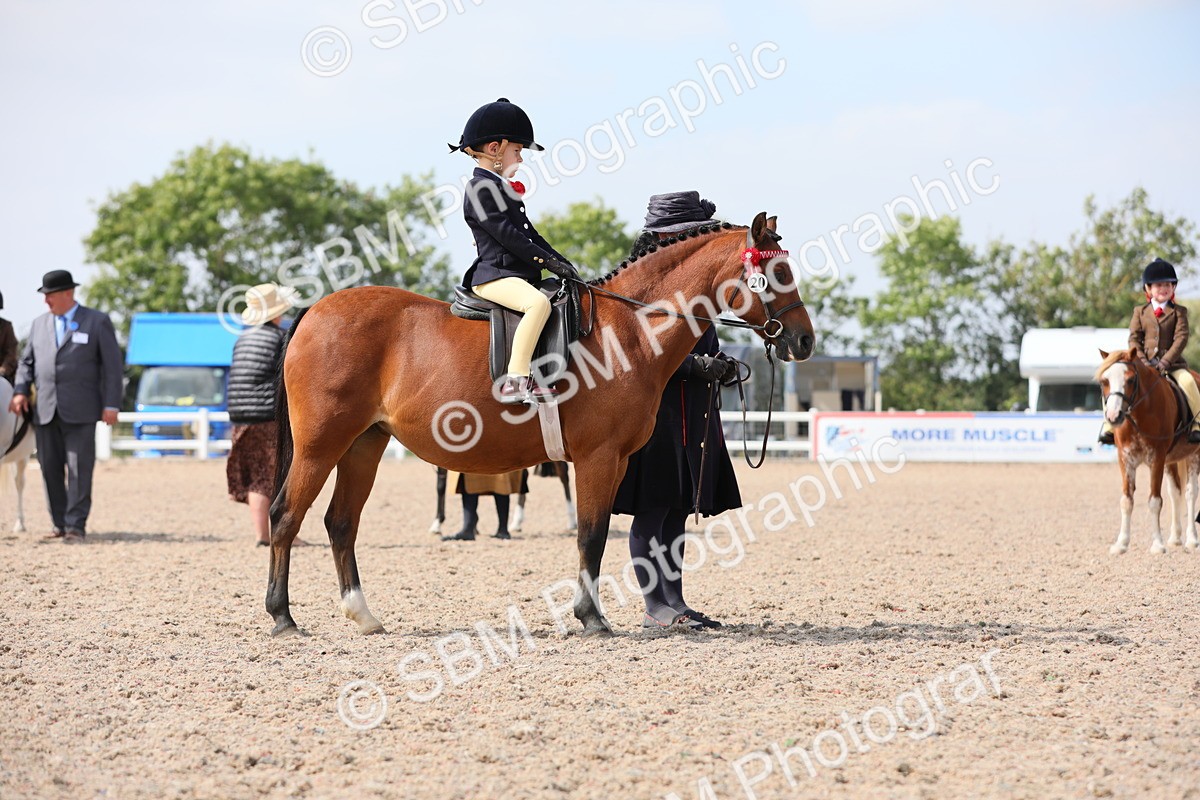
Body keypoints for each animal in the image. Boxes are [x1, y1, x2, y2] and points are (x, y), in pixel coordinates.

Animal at [1097, 348, 1200, 554]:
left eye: (1130, 380)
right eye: (1104, 381)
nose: (1113, 416)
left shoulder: (1157, 459)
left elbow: (1154, 501)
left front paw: (1158, 545)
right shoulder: (1125, 460)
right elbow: (1126, 500)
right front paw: (1121, 544)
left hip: (1194, 455)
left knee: (1191, 493)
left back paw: (1192, 539)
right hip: (1171, 460)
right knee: (1175, 492)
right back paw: (1175, 538)